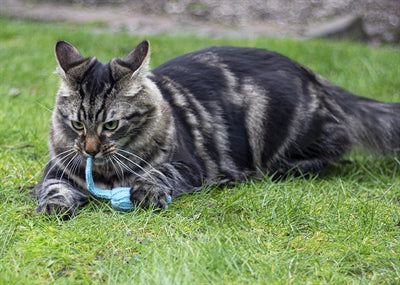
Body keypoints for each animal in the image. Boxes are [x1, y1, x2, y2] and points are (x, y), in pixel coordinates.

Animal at [35, 38, 400, 215]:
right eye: (77, 124)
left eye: (111, 124)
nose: (91, 150)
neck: (108, 174)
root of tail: (312, 76)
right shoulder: (55, 172)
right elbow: (54, 190)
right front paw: (54, 206)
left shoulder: (185, 165)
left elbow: (156, 173)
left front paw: (146, 191)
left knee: (333, 153)